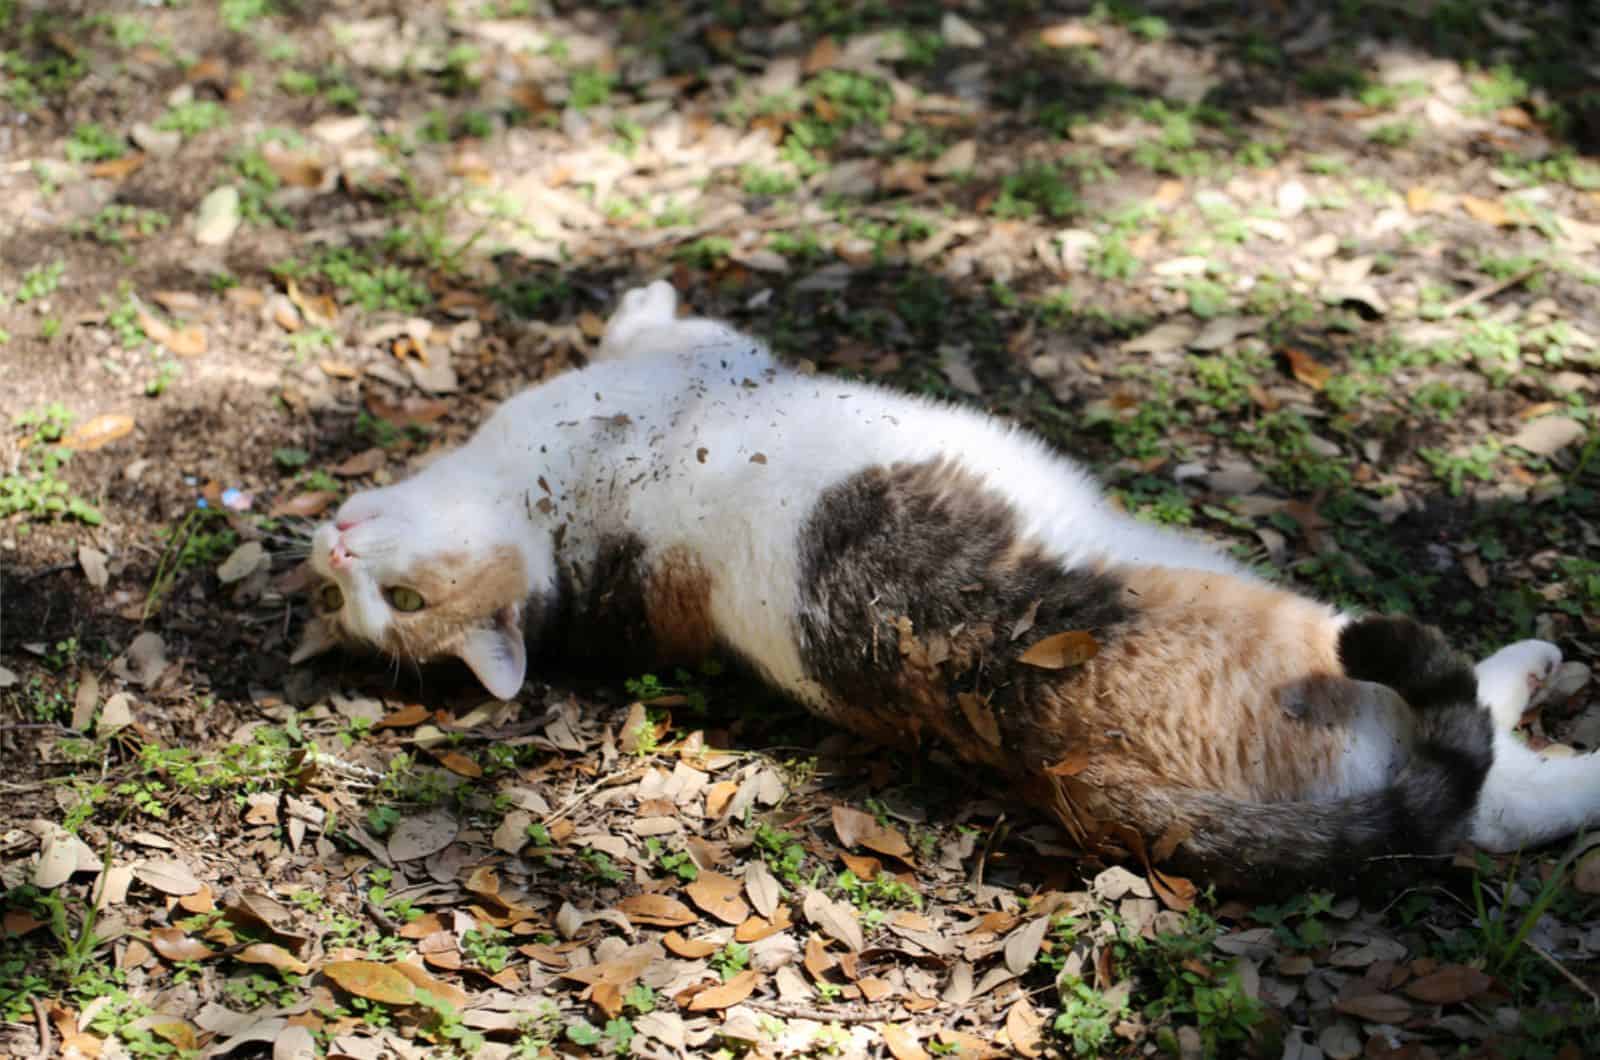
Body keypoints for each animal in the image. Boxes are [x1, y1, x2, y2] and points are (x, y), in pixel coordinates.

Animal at [297, 285, 1587, 896]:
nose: (337, 556)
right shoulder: (692, 361)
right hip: (1321, 644)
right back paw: (1542, 686)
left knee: (1488, 810)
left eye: (393, 603)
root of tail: (1078, 771)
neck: (556, 537)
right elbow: (664, 321)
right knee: (1478, 778)